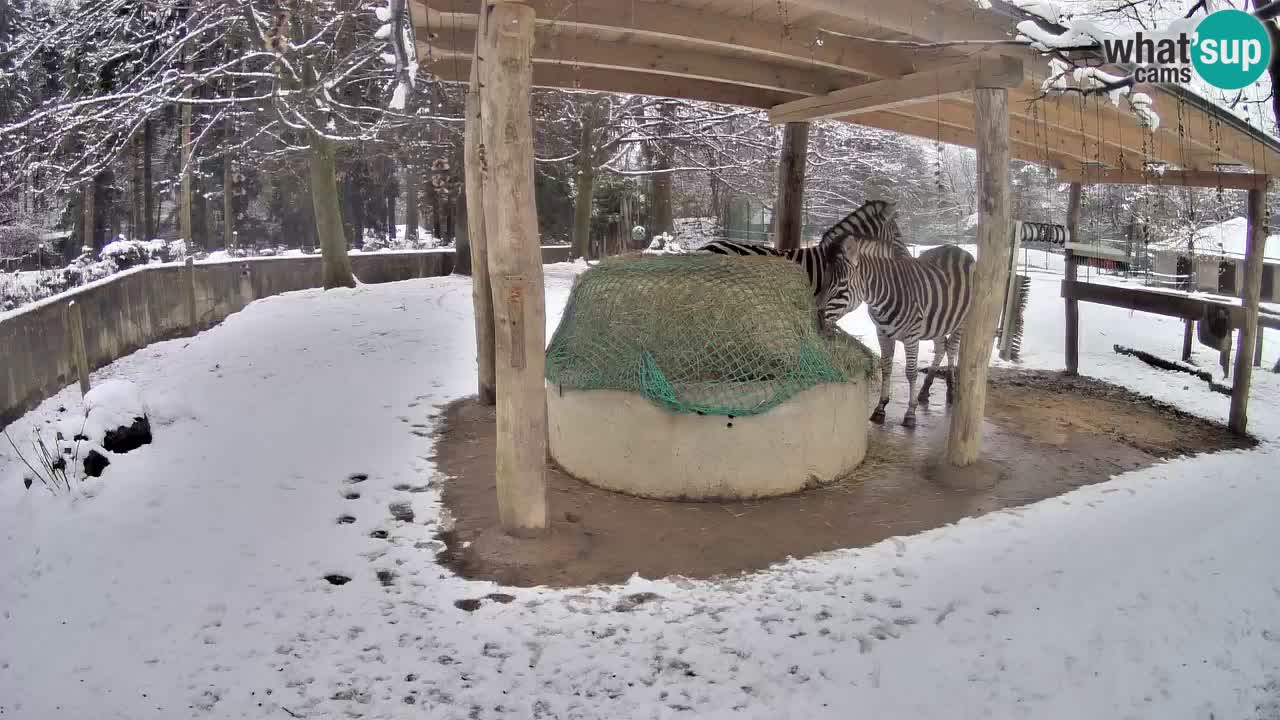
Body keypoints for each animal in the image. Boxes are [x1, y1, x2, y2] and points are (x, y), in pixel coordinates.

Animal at [839, 202, 977, 425]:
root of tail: (957, 249)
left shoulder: (912, 334)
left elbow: (911, 372)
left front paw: (910, 413)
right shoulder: (882, 331)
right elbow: (886, 366)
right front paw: (880, 408)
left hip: (961, 320)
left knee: (952, 349)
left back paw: (950, 390)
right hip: (938, 321)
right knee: (942, 347)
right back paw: (925, 390)